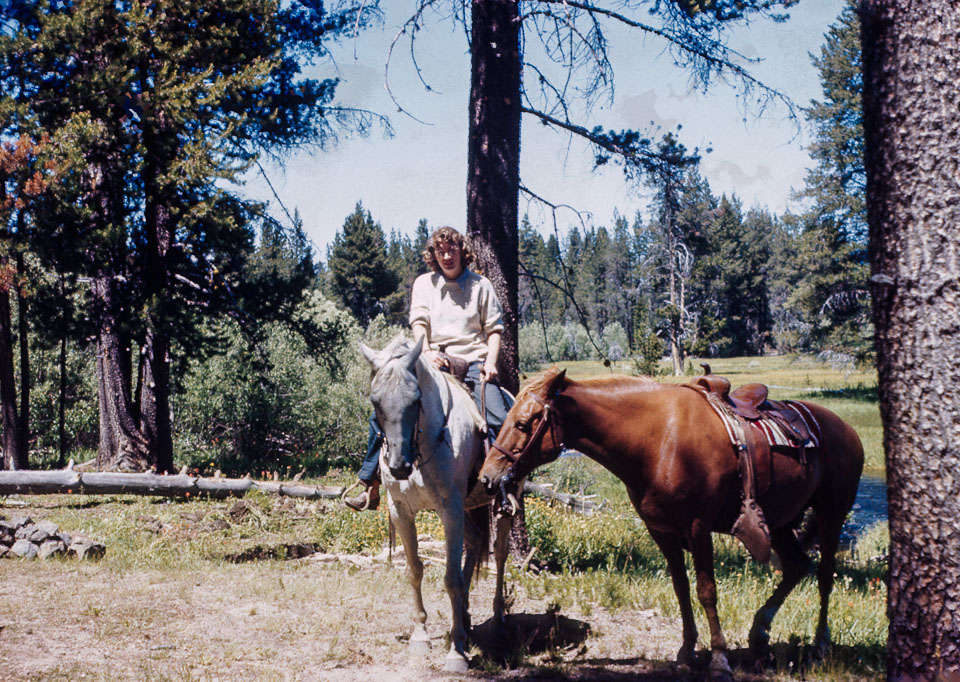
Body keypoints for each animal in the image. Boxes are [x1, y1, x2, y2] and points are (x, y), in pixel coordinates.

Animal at [358, 334, 510, 668]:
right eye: (375, 402)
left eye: (416, 400)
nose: (399, 466)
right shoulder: (401, 512)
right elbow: (415, 570)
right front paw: (421, 636)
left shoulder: (449, 510)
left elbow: (451, 578)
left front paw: (456, 651)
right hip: (467, 508)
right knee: (474, 543)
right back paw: (464, 617)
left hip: (505, 501)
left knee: (500, 555)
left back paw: (498, 621)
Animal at [480, 370, 864, 676]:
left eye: (523, 424)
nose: (488, 477)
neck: (656, 440)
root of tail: (848, 429)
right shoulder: (662, 531)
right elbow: (681, 589)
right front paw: (685, 653)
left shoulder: (697, 528)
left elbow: (706, 591)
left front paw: (719, 659)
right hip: (782, 522)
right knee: (797, 567)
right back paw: (760, 632)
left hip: (831, 513)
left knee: (824, 575)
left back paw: (820, 645)